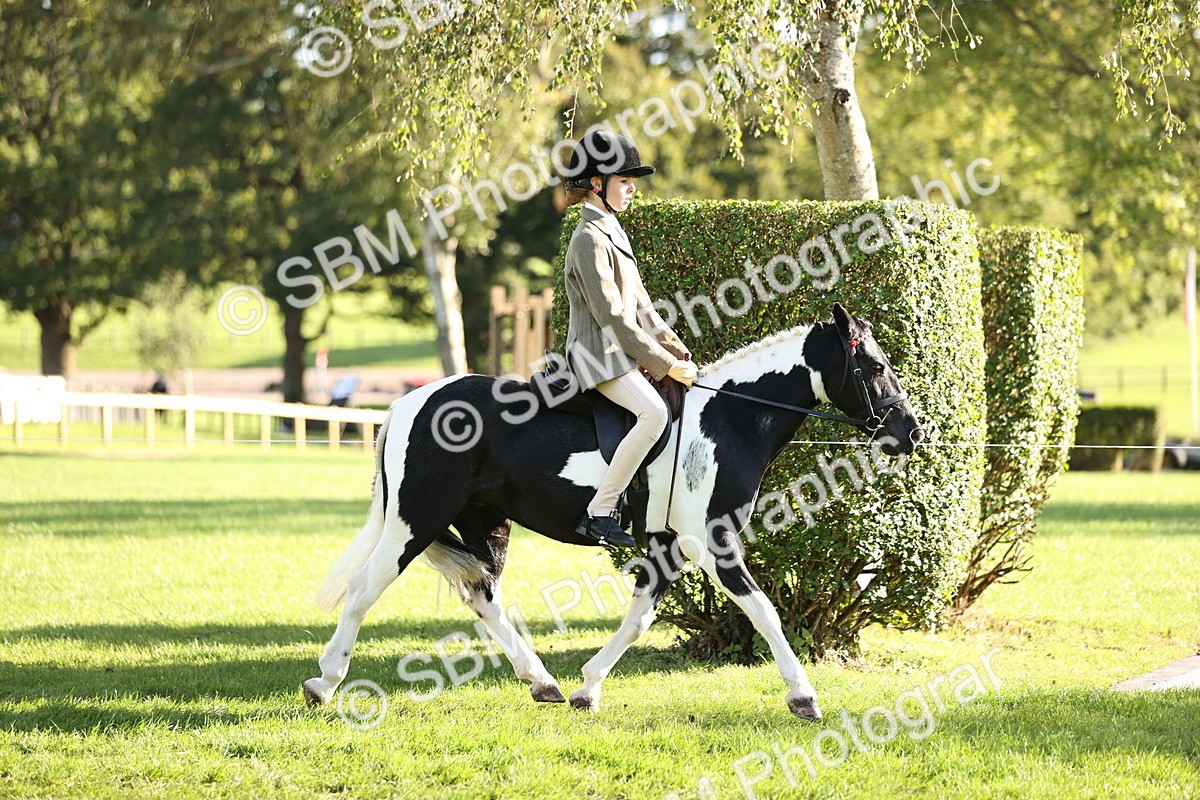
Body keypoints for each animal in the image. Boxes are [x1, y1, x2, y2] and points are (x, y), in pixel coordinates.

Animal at [302, 303, 924, 720]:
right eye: (874, 367)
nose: (911, 431)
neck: (727, 421)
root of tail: (412, 399)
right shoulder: (712, 542)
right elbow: (765, 613)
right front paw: (804, 697)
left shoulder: (669, 547)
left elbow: (639, 618)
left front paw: (587, 688)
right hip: (416, 520)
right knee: (364, 589)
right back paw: (324, 683)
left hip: (484, 523)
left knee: (484, 598)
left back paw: (543, 683)